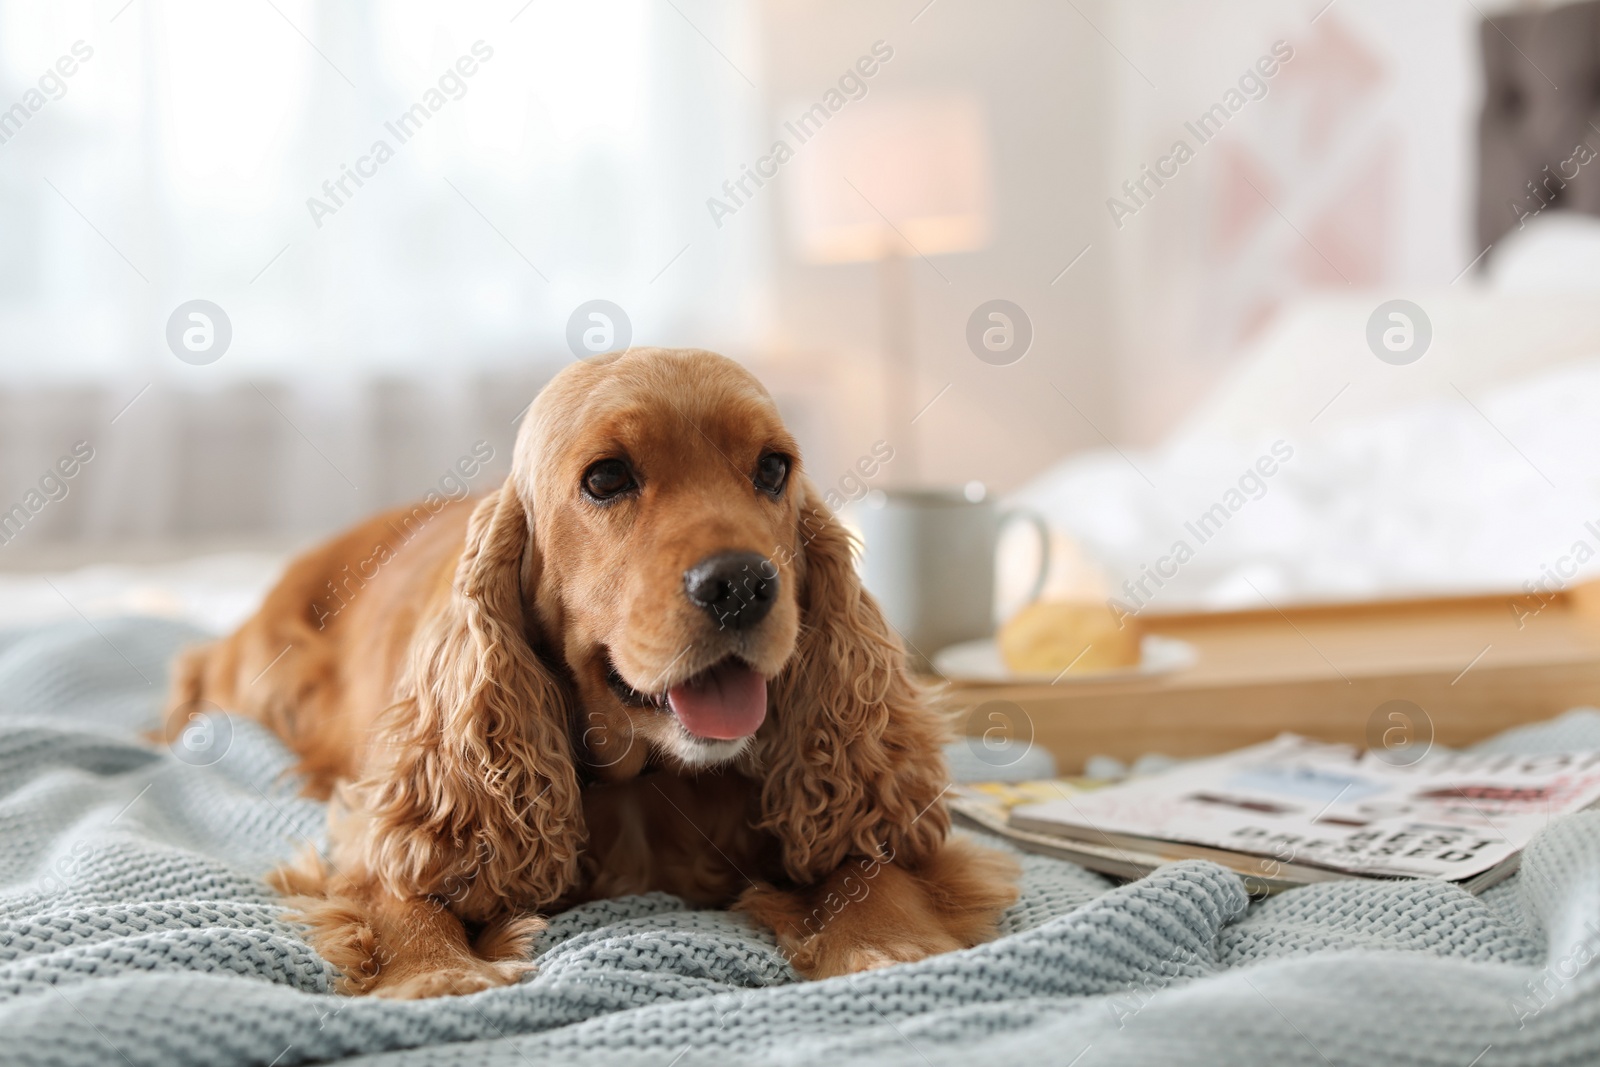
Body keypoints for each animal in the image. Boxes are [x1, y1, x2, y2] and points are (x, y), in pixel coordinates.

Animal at [162, 348, 1011, 1004]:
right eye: (606, 479)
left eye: (773, 469)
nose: (742, 584)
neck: (648, 784)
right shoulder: (383, 817)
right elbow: (398, 889)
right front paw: (434, 970)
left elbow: (873, 863)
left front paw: (890, 942)